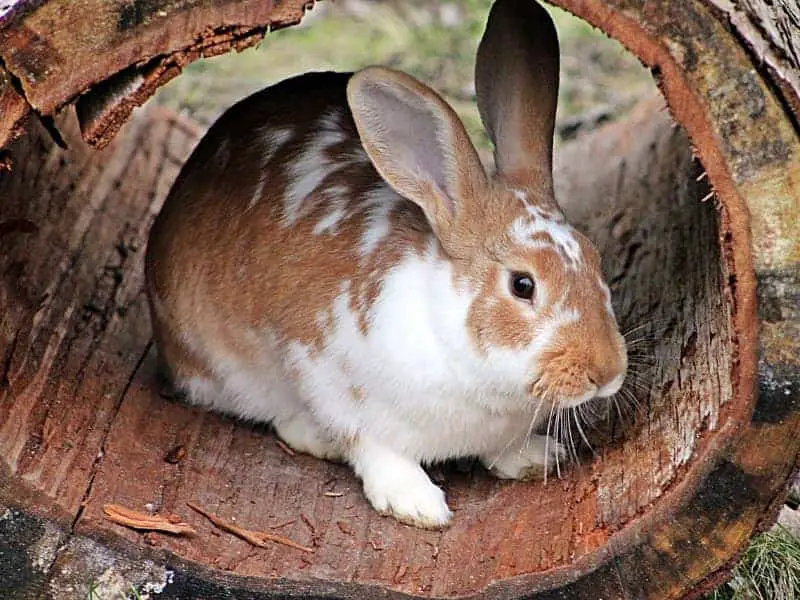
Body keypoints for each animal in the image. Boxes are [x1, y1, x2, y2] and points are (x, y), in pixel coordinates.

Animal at [147, 0, 628, 528]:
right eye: (522, 284)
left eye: (595, 258)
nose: (607, 372)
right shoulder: (335, 385)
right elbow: (374, 448)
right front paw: (417, 505)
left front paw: (535, 457)